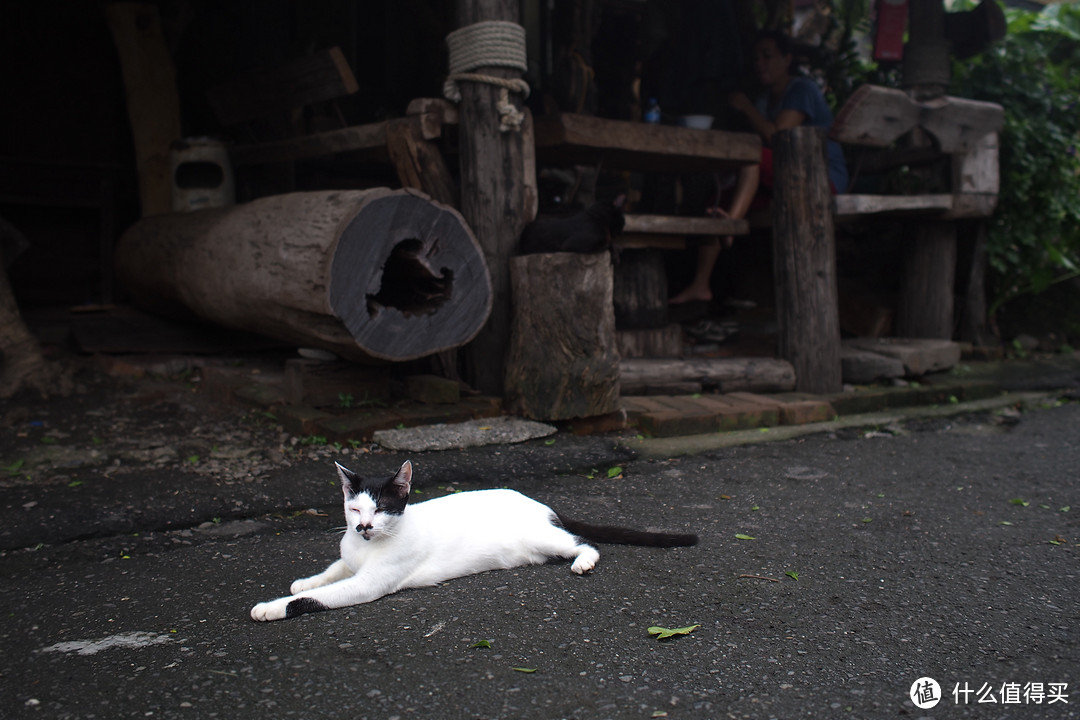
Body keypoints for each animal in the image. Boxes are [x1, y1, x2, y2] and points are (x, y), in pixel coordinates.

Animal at [249, 462, 695, 621]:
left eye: (382, 509)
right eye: (355, 509)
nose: (364, 528)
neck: (366, 547)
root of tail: (537, 502)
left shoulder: (368, 584)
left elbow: (318, 597)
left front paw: (272, 606)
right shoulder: (348, 559)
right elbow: (330, 571)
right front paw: (305, 580)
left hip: (547, 539)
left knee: (583, 543)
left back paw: (583, 562)